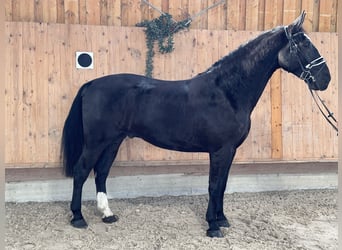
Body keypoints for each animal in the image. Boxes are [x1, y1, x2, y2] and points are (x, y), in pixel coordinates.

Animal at [61, 11, 332, 237]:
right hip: (96, 142)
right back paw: (78, 218)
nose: (326, 79)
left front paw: (222, 219)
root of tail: (91, 84)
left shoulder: (230, 151)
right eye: (303, 44)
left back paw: (107, 214)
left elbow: (222, 185)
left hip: (113, 141)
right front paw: (213, 226)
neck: (227, 92)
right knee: (81, 171)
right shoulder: (220, 150)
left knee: (101, 172)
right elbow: (213, 185)